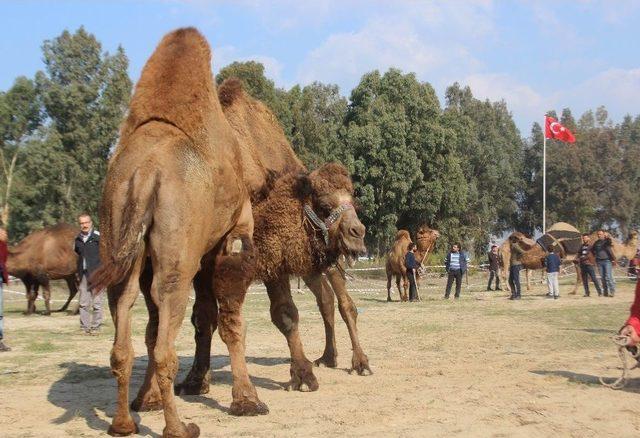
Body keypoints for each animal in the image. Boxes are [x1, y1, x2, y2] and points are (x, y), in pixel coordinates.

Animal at [89, 28, 264, 438]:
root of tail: (142, 176)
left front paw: (150, 399)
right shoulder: (236, 230)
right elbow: (231, 319)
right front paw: (248, 402)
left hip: (118, 235)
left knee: (125, 321)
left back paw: (123, 423)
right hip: (176, 250)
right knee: (166, 327)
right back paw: (179, 427)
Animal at [127, 78, 368, 410]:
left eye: (352, 201)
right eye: (322, 204)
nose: (358, 232)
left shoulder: (271, 259)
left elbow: (285, 314)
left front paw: (303, 377)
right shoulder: (207, 267)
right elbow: (203, 318)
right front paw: (194, 381)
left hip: (327, 262)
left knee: (345, 303)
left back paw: (360, 363)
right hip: (310, 266)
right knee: (326, 301)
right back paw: (328, 358)